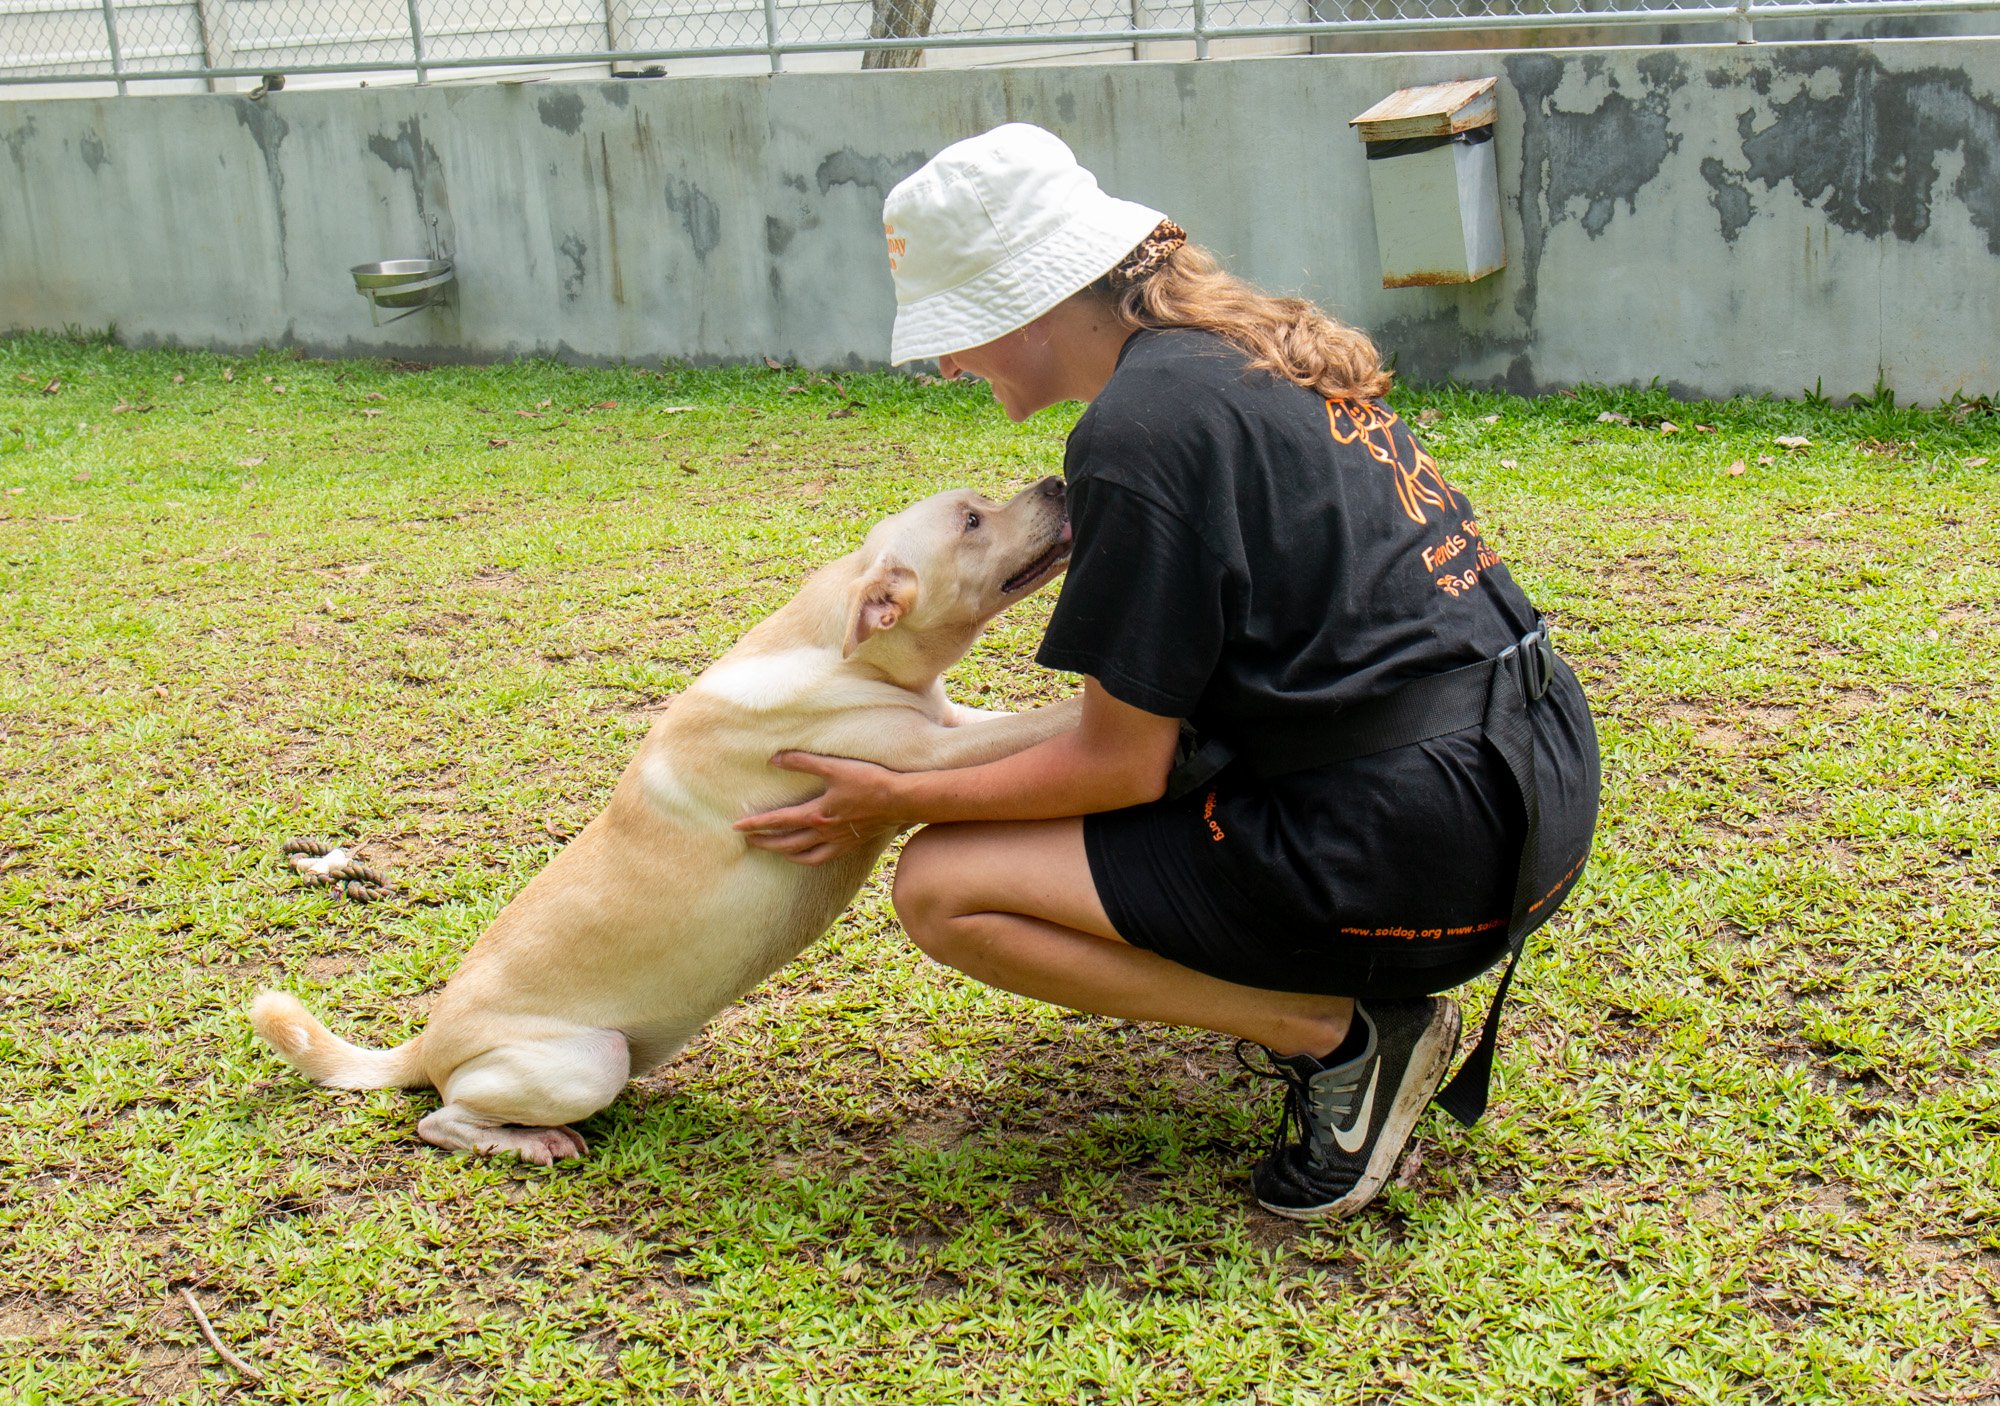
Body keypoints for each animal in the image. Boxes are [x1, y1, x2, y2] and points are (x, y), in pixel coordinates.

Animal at [262, 482, 1096, 1168]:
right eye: (971, 521)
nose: (1058, 481)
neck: (838, 647)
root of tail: (426, 1043)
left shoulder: (949, 724)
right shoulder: (922, 753)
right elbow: (1047, 724)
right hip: (587, 1063)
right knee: (441, 1121)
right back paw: (532, 1144)